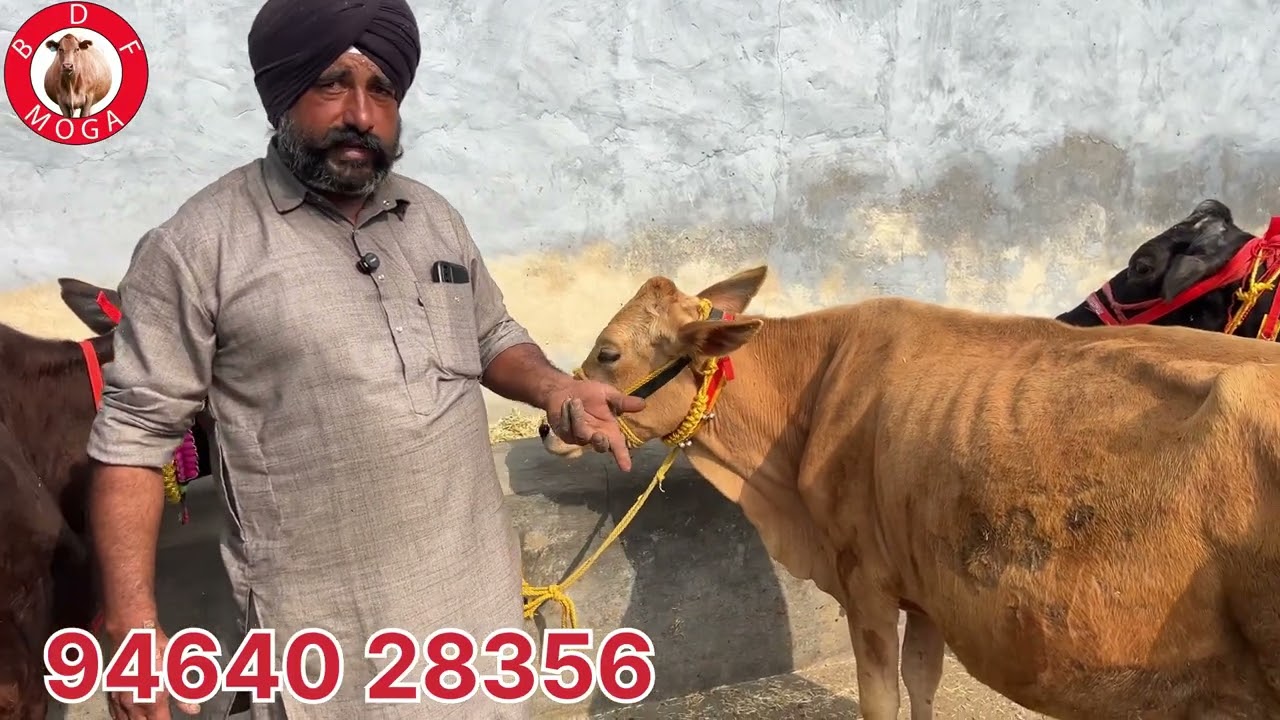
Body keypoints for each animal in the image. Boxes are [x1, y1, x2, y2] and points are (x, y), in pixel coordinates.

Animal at [537, 264, 1280, 718]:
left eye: (608, 353)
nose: (549, 424)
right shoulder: (925, 581)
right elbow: (924, 681)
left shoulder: (863, 575)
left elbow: (882, 696)